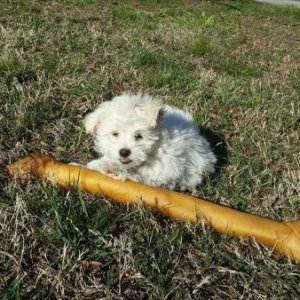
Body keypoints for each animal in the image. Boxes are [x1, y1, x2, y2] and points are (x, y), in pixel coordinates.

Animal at [83, 93, 217, 190]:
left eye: (139, 136)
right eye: (115, 134)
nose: (124, 152)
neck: (155, 148)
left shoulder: (166, 169)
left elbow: (143, 177)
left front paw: (117, 170)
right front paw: (99, 164)